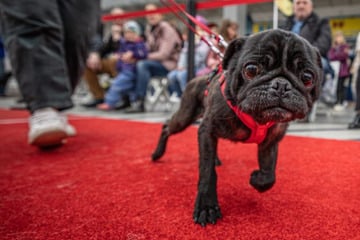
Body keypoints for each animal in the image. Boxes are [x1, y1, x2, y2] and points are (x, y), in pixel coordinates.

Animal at [150, 29, 322, 226]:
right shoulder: (207, 129)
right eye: (251, 69)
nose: (281, 84)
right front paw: (207, 206)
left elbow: (270, 173)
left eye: (307, 78)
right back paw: (157, 154)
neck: (257, 118)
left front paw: (258, 181)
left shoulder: (270, 143)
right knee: (167, 127)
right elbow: (207, 171)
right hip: (185, 117)